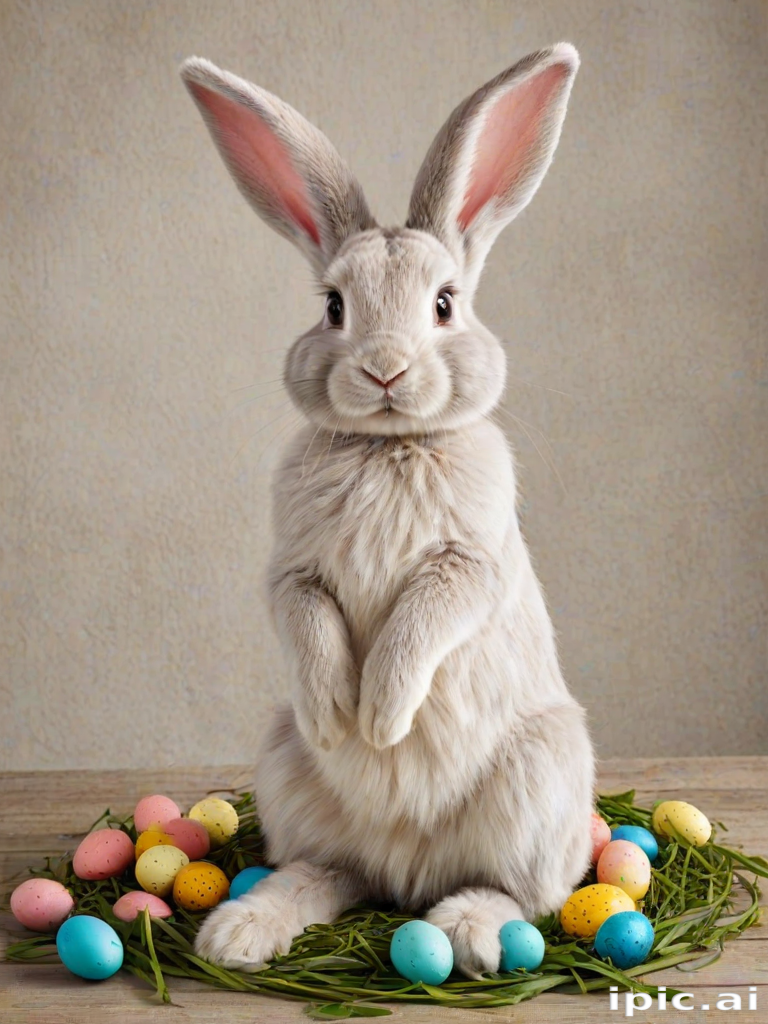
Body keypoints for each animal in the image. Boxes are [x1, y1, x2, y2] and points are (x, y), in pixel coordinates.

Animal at [180, 42, 596, 979]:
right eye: (333, 306)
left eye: (444, 304)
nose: (384, 369)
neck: (387, 443)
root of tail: (409, 873)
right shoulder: (291, 572)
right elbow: (307, 620)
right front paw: (342, 715)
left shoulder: (468, 562)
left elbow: (420, 624)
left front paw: (380, 716)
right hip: (284, 764)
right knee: (331, 872)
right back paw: (242, 929)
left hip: (539, 777)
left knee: (526, 896)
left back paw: (470, 932)